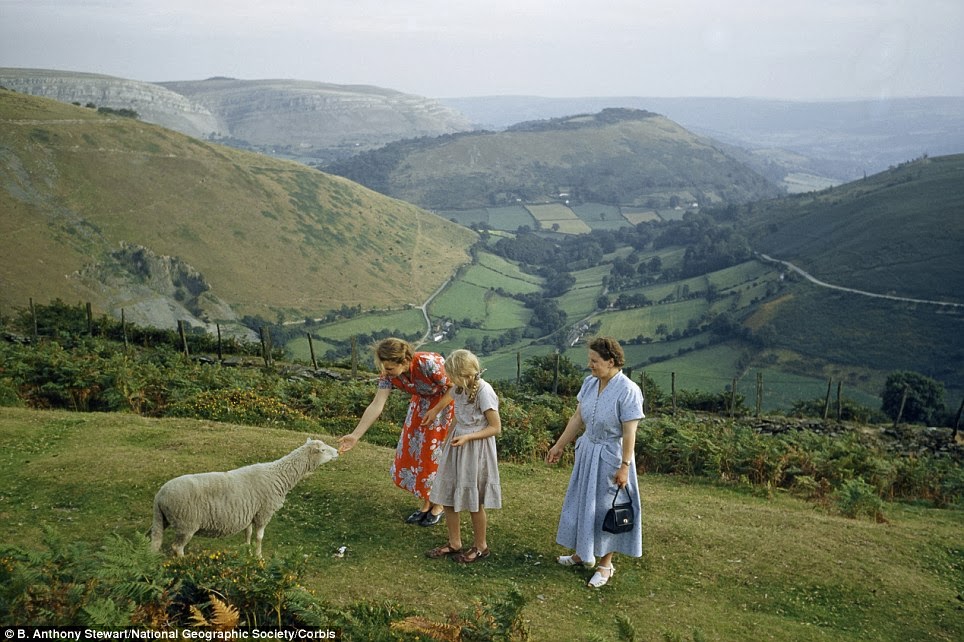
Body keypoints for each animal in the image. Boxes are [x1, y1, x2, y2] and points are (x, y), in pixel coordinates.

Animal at [151, 436, 338, 556]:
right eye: (322, 449)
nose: (337, 451)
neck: (277, 475)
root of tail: (160, 495)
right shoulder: (264, 512)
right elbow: (259, 537)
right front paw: (258, 556)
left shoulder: (249, 511)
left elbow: (247, 533)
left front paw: (246, 551)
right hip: (186, 524)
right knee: (176, 547)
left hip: (164, 520)